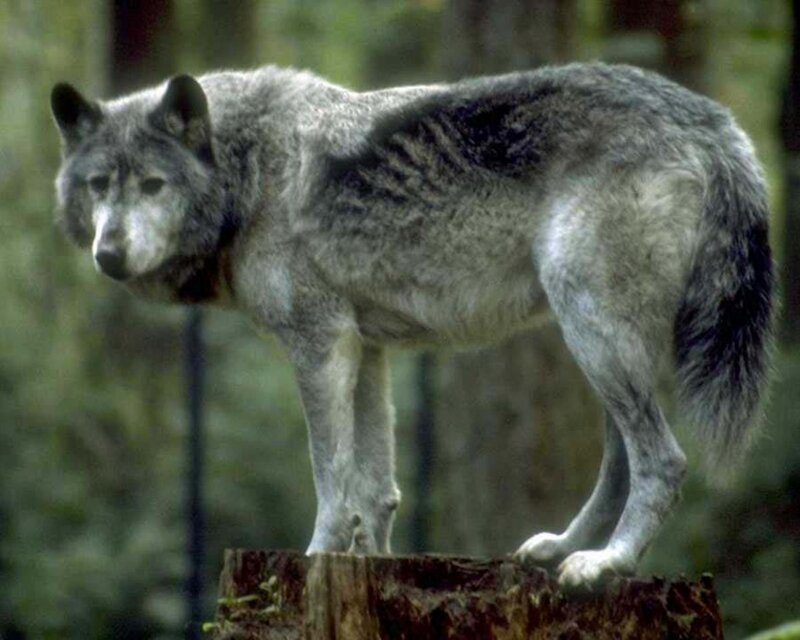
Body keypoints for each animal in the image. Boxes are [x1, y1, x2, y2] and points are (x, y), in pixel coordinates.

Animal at [50, 62, 774, 587]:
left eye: (152, 185)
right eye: (98, 186)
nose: (108, 255)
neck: (249, 174)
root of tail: (712, 121)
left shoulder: (320, 346)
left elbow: (332, 480)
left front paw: (314, 561)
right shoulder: (365, 351)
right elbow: (376, 490)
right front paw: (371, 566)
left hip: (594, 334)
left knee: (664, 461)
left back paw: (607, 565)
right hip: (598, 345)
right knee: (622, 462)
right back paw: (562, 548)